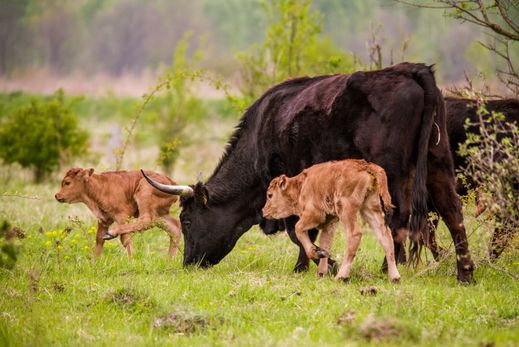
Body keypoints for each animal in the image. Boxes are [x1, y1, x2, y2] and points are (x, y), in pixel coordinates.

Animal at [264, 160, 402, 282]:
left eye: (270, 195)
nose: (264, 211)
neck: (300, 186)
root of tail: (366, 165)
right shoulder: (330, 222)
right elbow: (325, 243)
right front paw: (321, 272)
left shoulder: (314, 215)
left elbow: (298, 228)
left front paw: (317, 254)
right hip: (370, 209)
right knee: (386, 238)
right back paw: (394, 277)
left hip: (346, 209)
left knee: (355, 234)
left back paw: (341, 276)